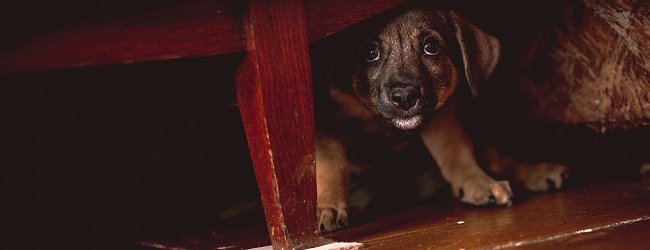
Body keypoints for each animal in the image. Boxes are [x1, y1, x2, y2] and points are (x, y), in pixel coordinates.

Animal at [312, 7, 560, 232]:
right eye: (370, 52)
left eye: (431, 47)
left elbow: (456, 152)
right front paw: (329, 207)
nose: (404, 97)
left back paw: (537, 172)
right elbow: (331, 162)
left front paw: (477, 182)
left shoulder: (443, 118)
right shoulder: (326, 120)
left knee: (496, 158)